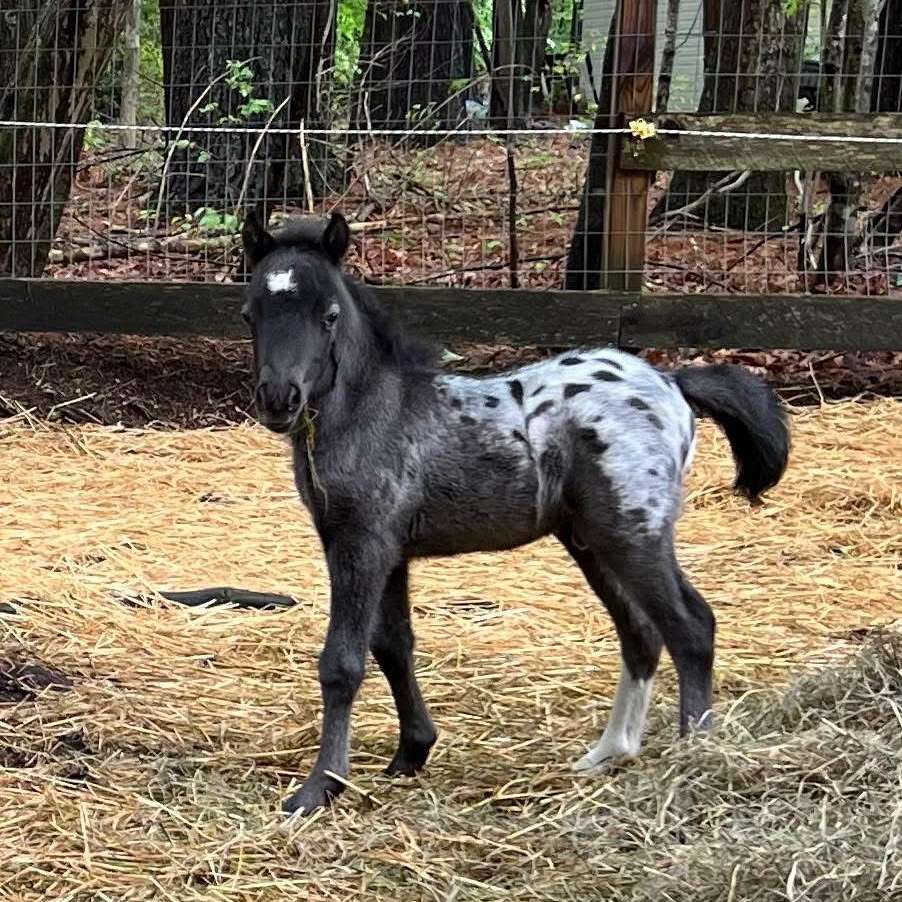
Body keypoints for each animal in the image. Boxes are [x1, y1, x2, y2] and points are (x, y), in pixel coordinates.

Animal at [239, 211, 790, 815]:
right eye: (250, 313)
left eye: (330, 315)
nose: (278, 398)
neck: (376, 411)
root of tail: (672, 383)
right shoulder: (386, 549)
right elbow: (393, 646)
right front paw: (412, 752)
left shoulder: (362, 544)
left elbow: (343, 662)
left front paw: (320, 786)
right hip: (590, 541)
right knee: (641, 632)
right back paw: (608, 753)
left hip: (633, 534)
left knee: (690, 626)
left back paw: (694, 757)